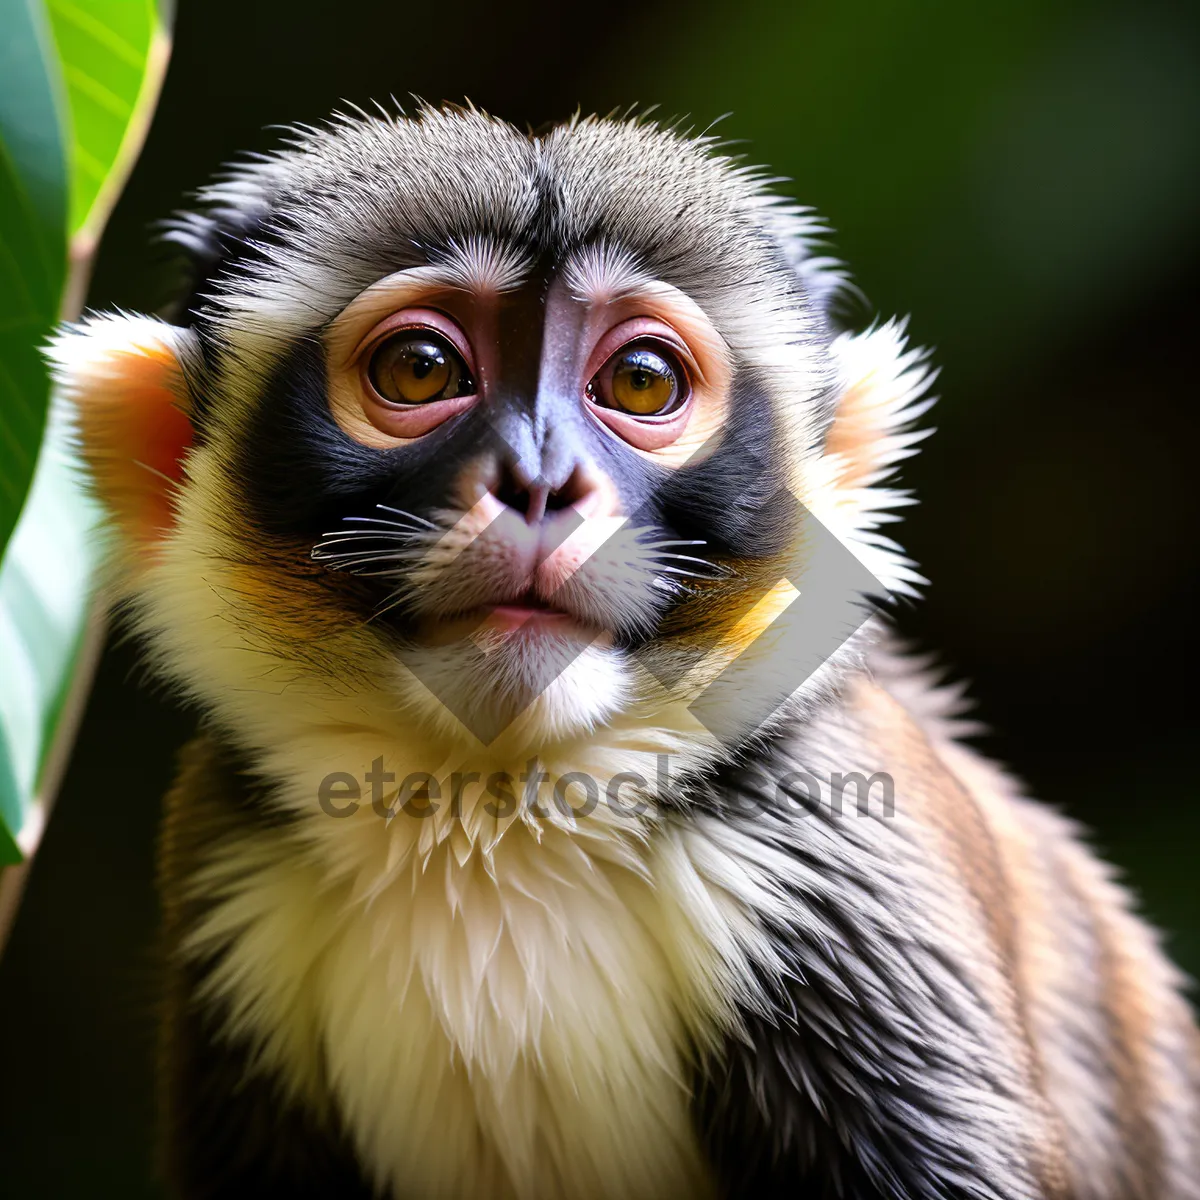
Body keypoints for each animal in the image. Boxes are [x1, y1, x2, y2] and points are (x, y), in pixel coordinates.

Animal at [49, 108, 1200, 1195]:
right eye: (420, 369)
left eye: (641, 381)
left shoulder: (827, 857)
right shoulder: (226, 875)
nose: (539, 480)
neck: (498, 813)